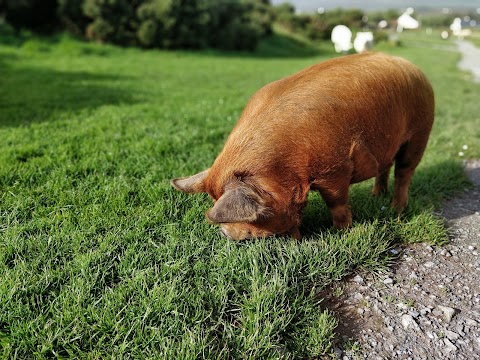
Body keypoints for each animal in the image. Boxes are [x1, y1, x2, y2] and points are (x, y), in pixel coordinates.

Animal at [170, 52, 436, 240]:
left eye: (257, 217)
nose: (224, 233)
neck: (287, 166)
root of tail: (415, 68)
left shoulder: (335, 169)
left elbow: (336, 203)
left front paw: (341, 232)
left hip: (420, 131)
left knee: (404, 172)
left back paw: (395, 210)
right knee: (385, 167)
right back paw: (376, 195)